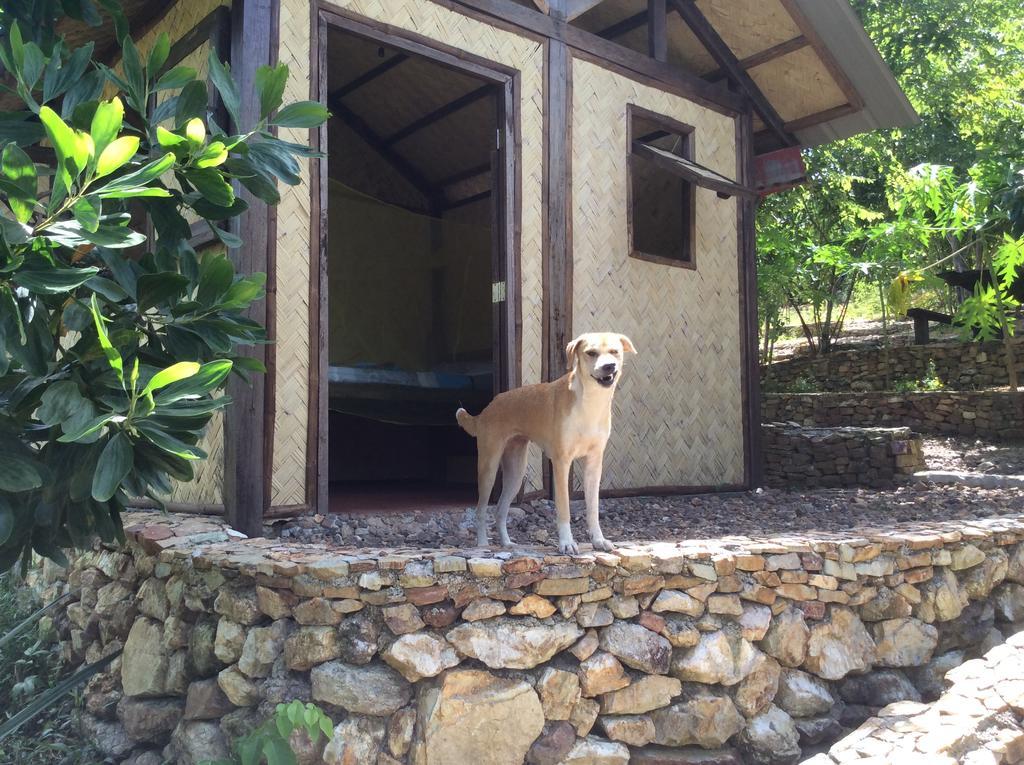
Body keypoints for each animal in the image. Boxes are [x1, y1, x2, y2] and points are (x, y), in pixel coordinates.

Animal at [454, 331, 630, 553]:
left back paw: (506, 543)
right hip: (489, 469)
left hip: (516, 473)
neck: (589, 403)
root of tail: (488, 409)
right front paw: (567, 543)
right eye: (591, 353)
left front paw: (598, 540)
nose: (609, 367)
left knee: (500, 511)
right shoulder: (561, 462)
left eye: (615, 352)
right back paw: (483, 544)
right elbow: (563, 508)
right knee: (481, 510)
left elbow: (593, 509)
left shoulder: (594, 463)